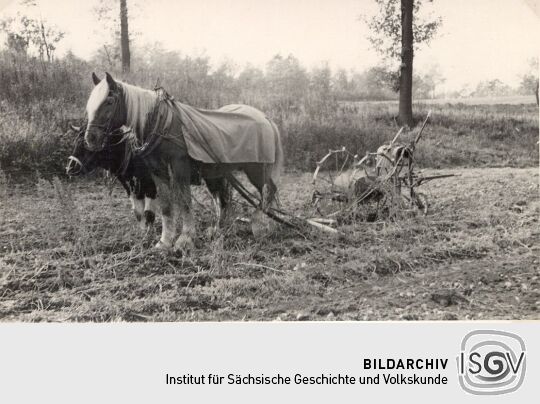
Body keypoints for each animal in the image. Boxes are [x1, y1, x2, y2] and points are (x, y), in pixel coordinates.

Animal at [83, 71, 282, 251]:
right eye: (90, 103)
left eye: (109, 102)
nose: (90, 138)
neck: (161, 124)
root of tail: (266, 118)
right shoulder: (157, 170)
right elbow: (165, 205)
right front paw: (164, 242)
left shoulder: (179, 167)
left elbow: (185, 202)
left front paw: (184, 240)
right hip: (217, 173)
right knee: (222, 198)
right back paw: (219, 230)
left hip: (257, 170)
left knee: (267, 191)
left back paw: (261, 226)